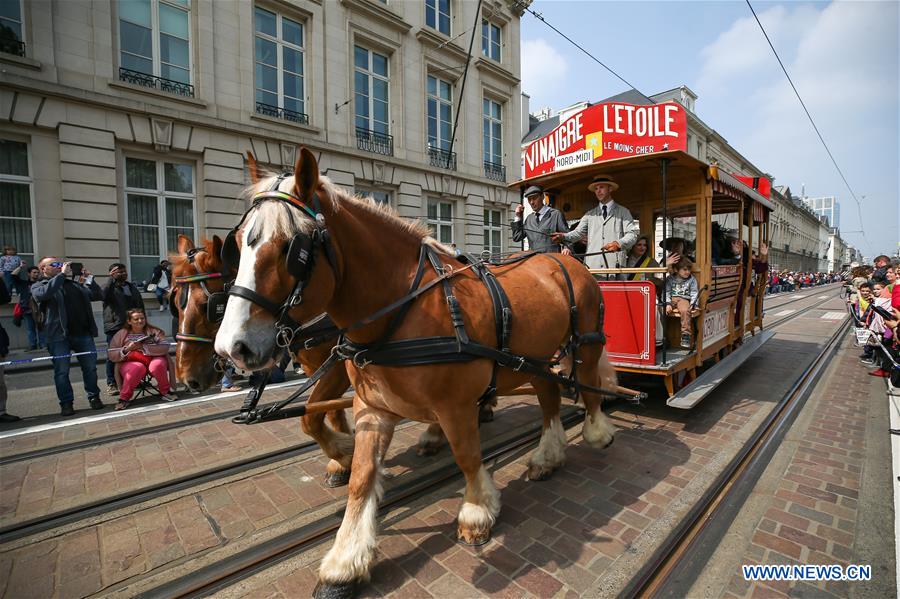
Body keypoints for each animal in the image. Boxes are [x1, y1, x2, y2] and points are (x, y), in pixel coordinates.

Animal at [172, 234, 358, 488]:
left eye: (207, 306)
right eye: (174, 303)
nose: (186, 377)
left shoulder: (340, 365)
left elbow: (310, 418)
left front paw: (345, 452)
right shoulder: (316, 367)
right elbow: (330, 411)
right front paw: (343, 461)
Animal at [214, 150, 616, 596]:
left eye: (292, 248)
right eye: (236, 245)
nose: (231, 347)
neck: (402, 309)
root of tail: (561, 257)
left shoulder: (455, 405)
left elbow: (468, 455)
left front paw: (477, 511)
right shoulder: (371, 407)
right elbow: (360, 475)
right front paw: (344, 559)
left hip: (585, 344)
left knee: (589, 387)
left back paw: (596, 431)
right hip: (536, 356)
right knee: (548, 396)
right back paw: (548, 456)